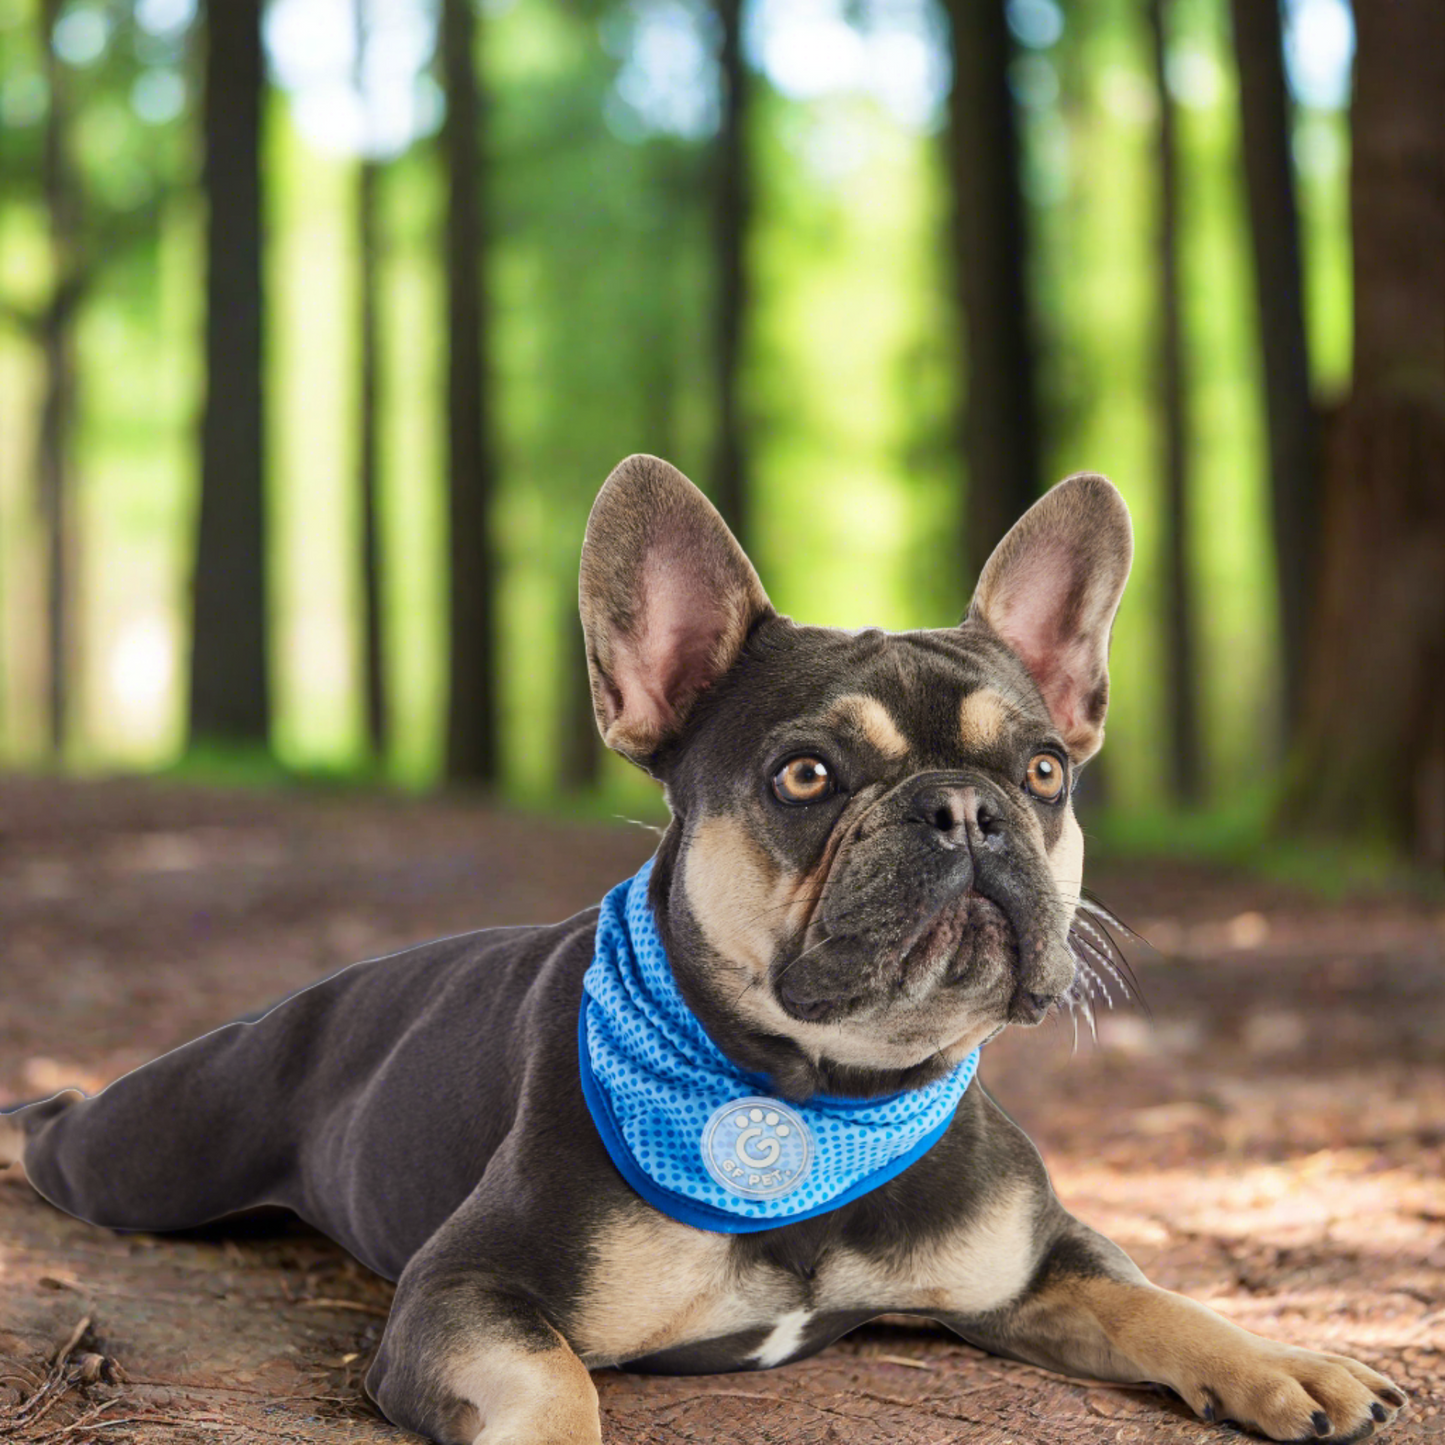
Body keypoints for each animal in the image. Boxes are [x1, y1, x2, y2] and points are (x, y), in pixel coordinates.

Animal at [0, 459, 1398, 1445]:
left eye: (1044, 769)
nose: (963, 807)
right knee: (56, 1131)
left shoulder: (1039, 1262)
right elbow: (554, 1386)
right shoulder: (466, 1290)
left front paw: (1284, 1358)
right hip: (146, 1151)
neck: (824, 1095)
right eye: (805, 774)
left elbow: (1154, 1296)